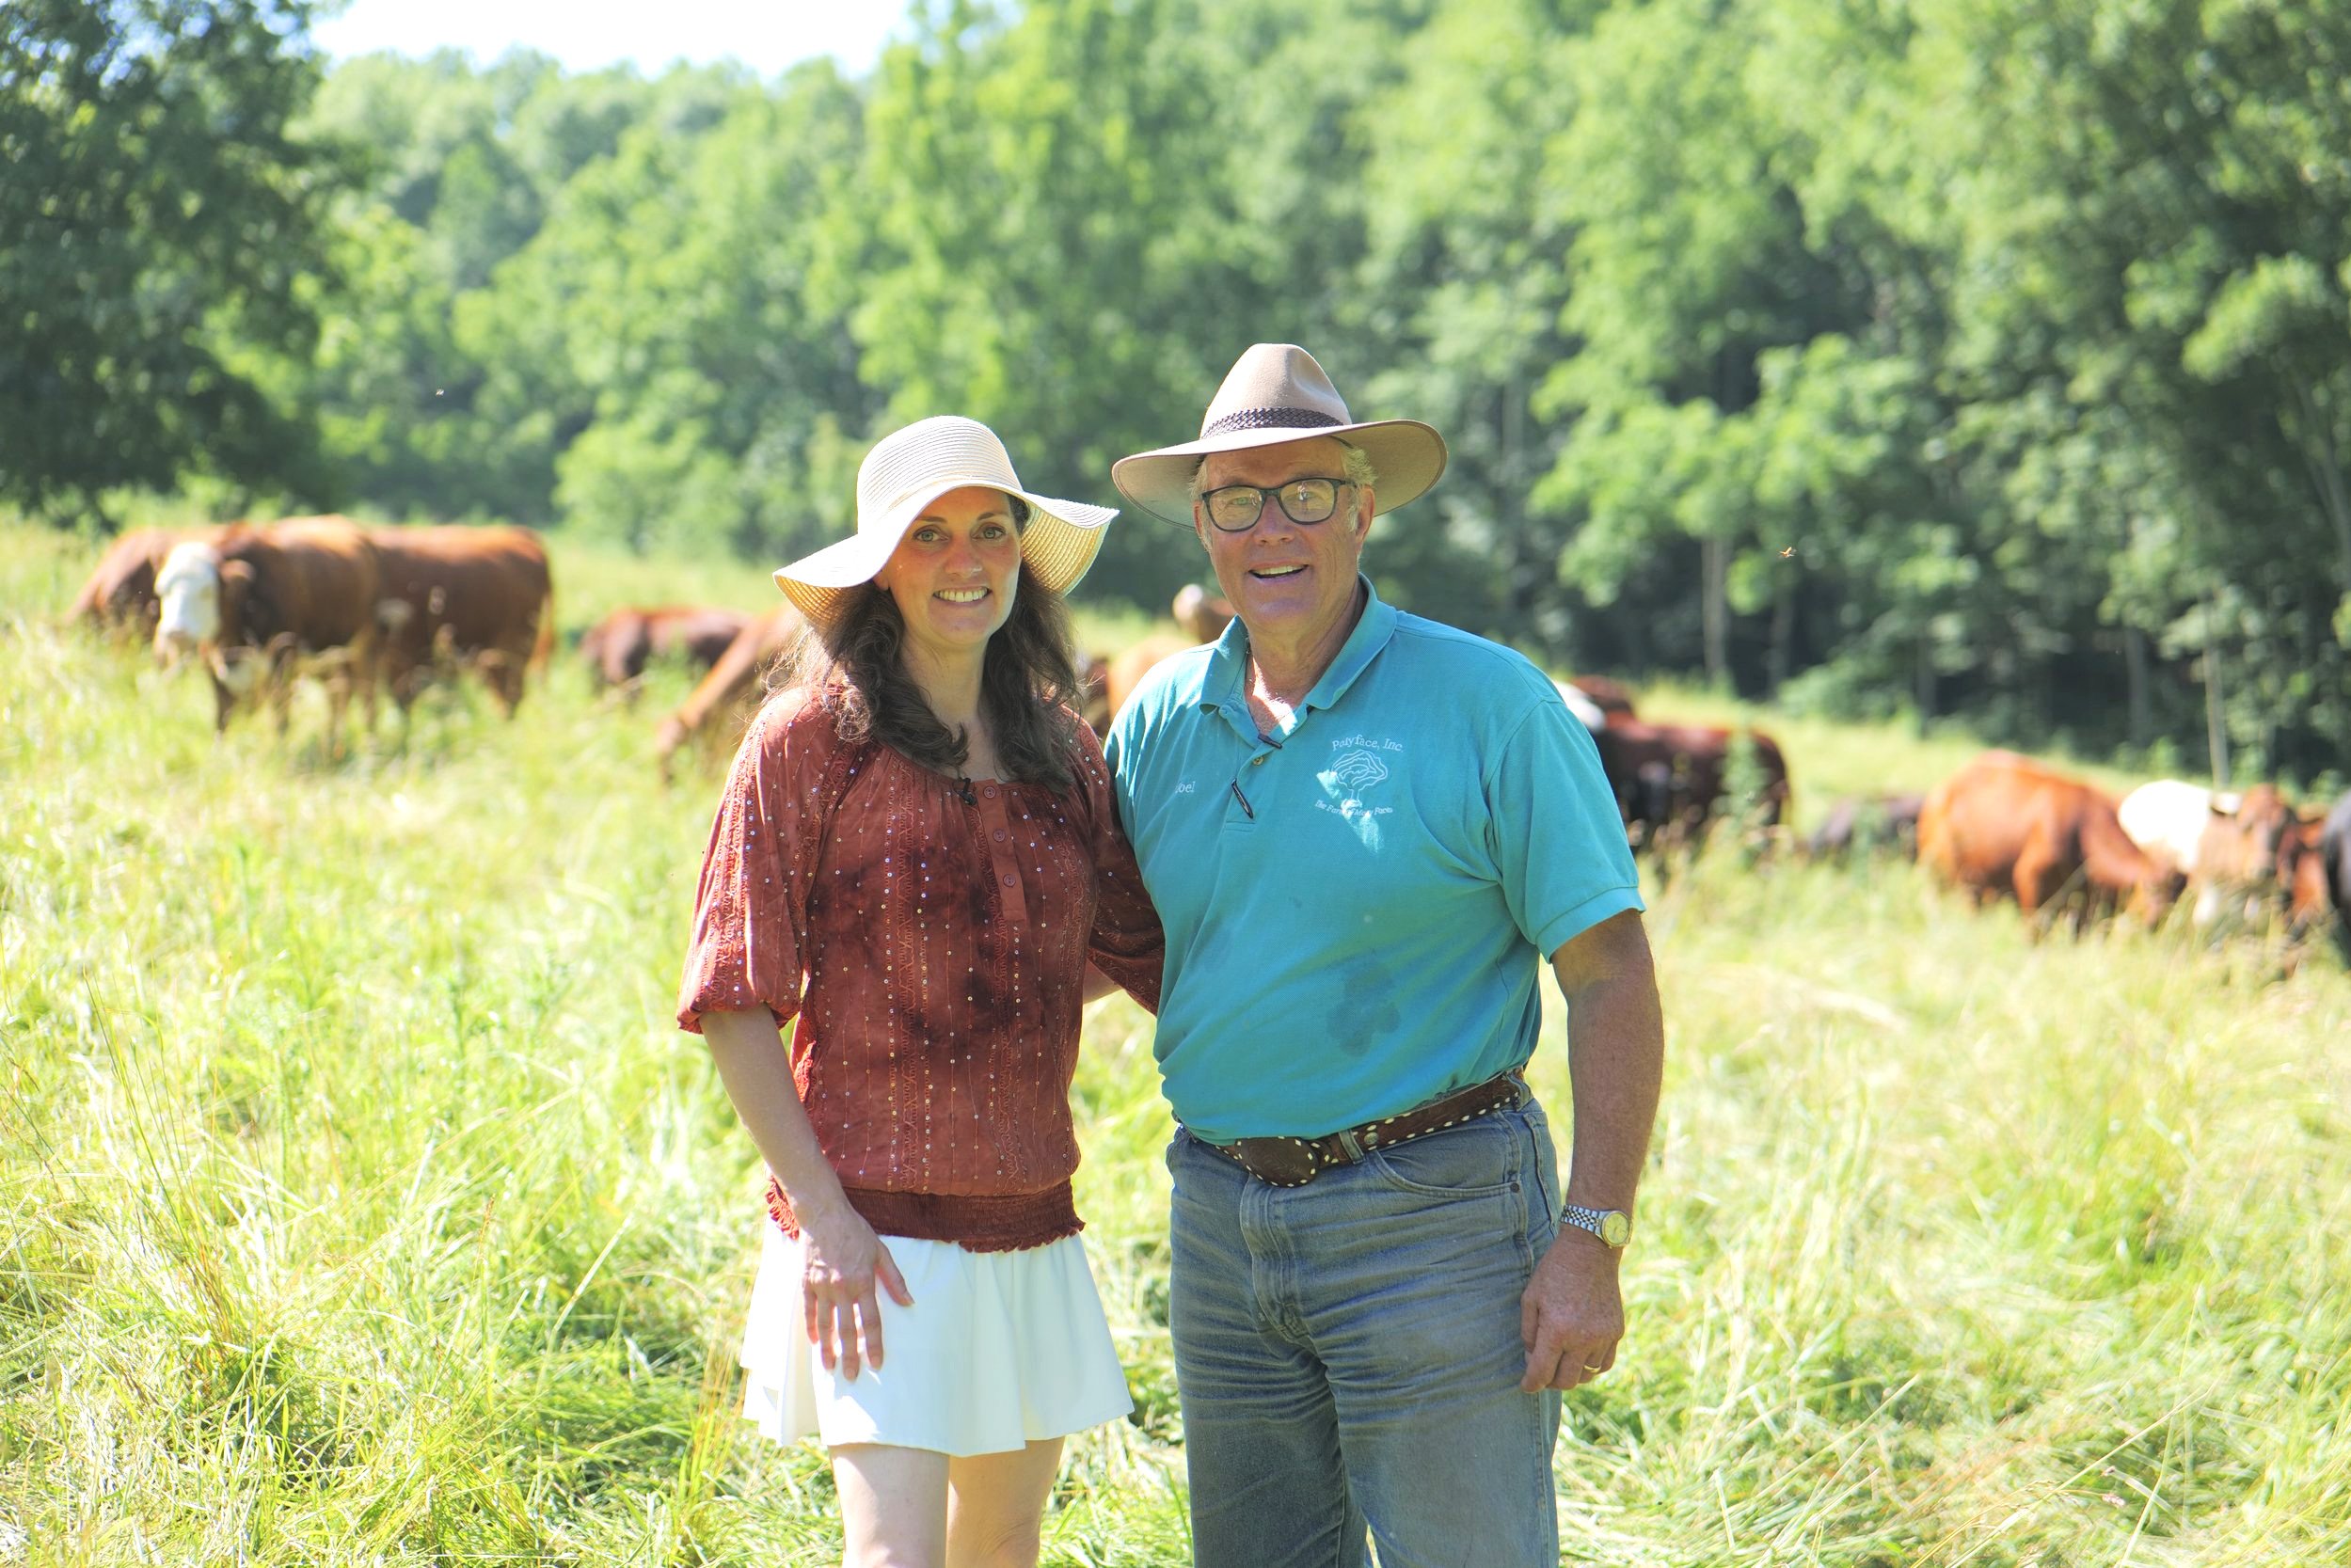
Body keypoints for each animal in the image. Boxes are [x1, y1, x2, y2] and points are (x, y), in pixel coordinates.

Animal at [151, 516, 382, 745]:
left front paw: (279, 751)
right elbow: (222, 719)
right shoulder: (212, 664)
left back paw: (370, 742)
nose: (176, 633)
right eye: (162, 589)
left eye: (207, 591)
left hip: (364, 646)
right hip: (330, 656)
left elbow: (281, 719)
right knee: (339, 694)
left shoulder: (283, 663)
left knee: (367, 695)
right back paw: (334, 739)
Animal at [1916, 752, 2184, 930]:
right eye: (2150, 887)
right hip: (1944, 872)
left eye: (2177, 898)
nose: (2155, 921)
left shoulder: (2086, 911)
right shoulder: (2030, 883)